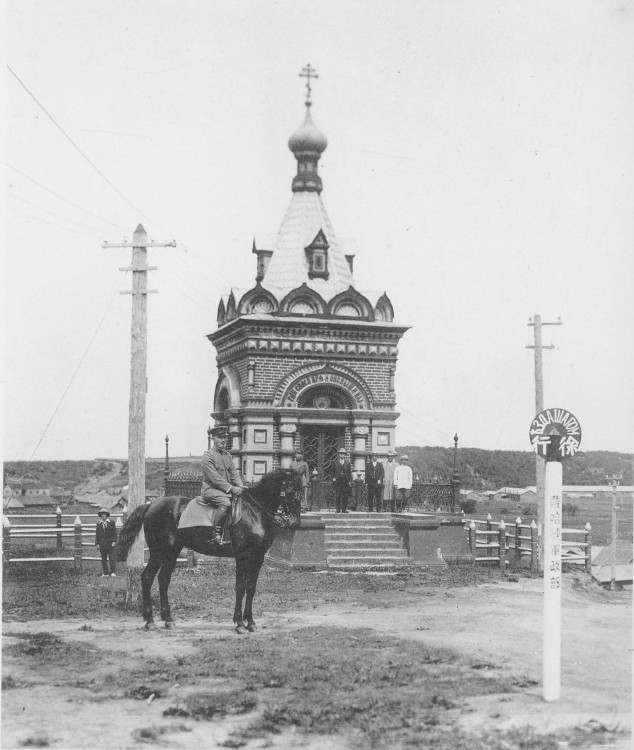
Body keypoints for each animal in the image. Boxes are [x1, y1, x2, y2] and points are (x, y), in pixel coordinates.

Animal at [115, 470, 300, 636]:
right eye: (291, 491)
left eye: (302, 490)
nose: (295, 522)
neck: (254, 511)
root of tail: (151, 505)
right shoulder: (242, 556)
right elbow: (240, 587)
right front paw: (240, 623)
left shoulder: (258, 558)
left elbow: (251, 588)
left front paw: (251, 622)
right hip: (158, 552)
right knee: (147, 577)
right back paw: (150, 621)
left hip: (171, 553)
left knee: (163, 579)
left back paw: (168, 620)